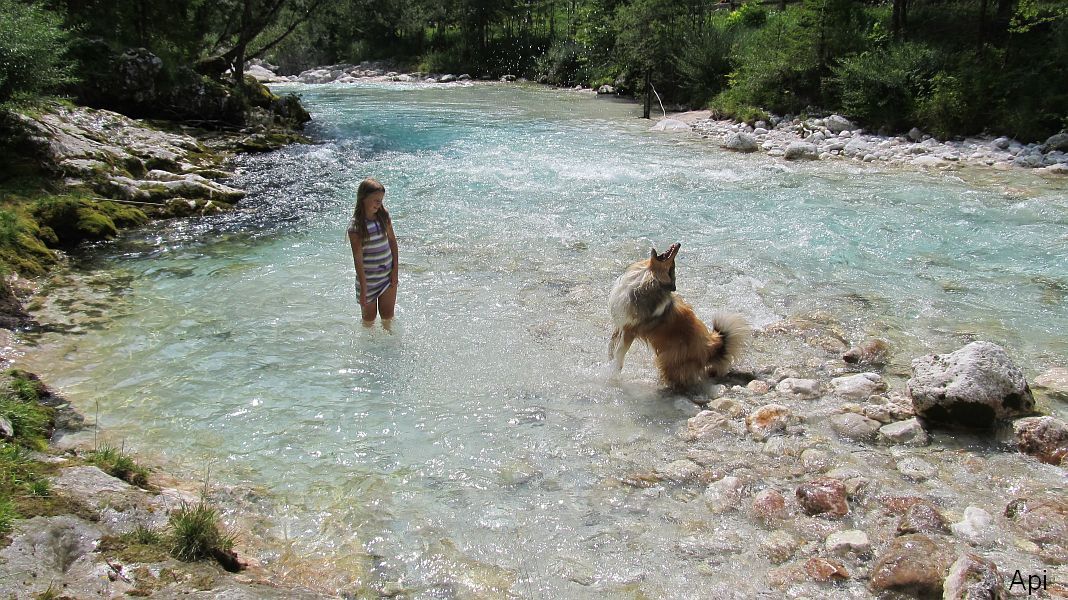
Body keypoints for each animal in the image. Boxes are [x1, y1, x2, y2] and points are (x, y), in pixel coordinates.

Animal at [607, 243, 751, 390]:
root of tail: (710, 346)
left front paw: (612, 374)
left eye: (672, 266)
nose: (678, 244)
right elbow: (612, 345)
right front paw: (609, 358)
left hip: (667, 358)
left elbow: (619, 354)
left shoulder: (630, 330)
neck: (645, 277)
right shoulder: (621, 324)